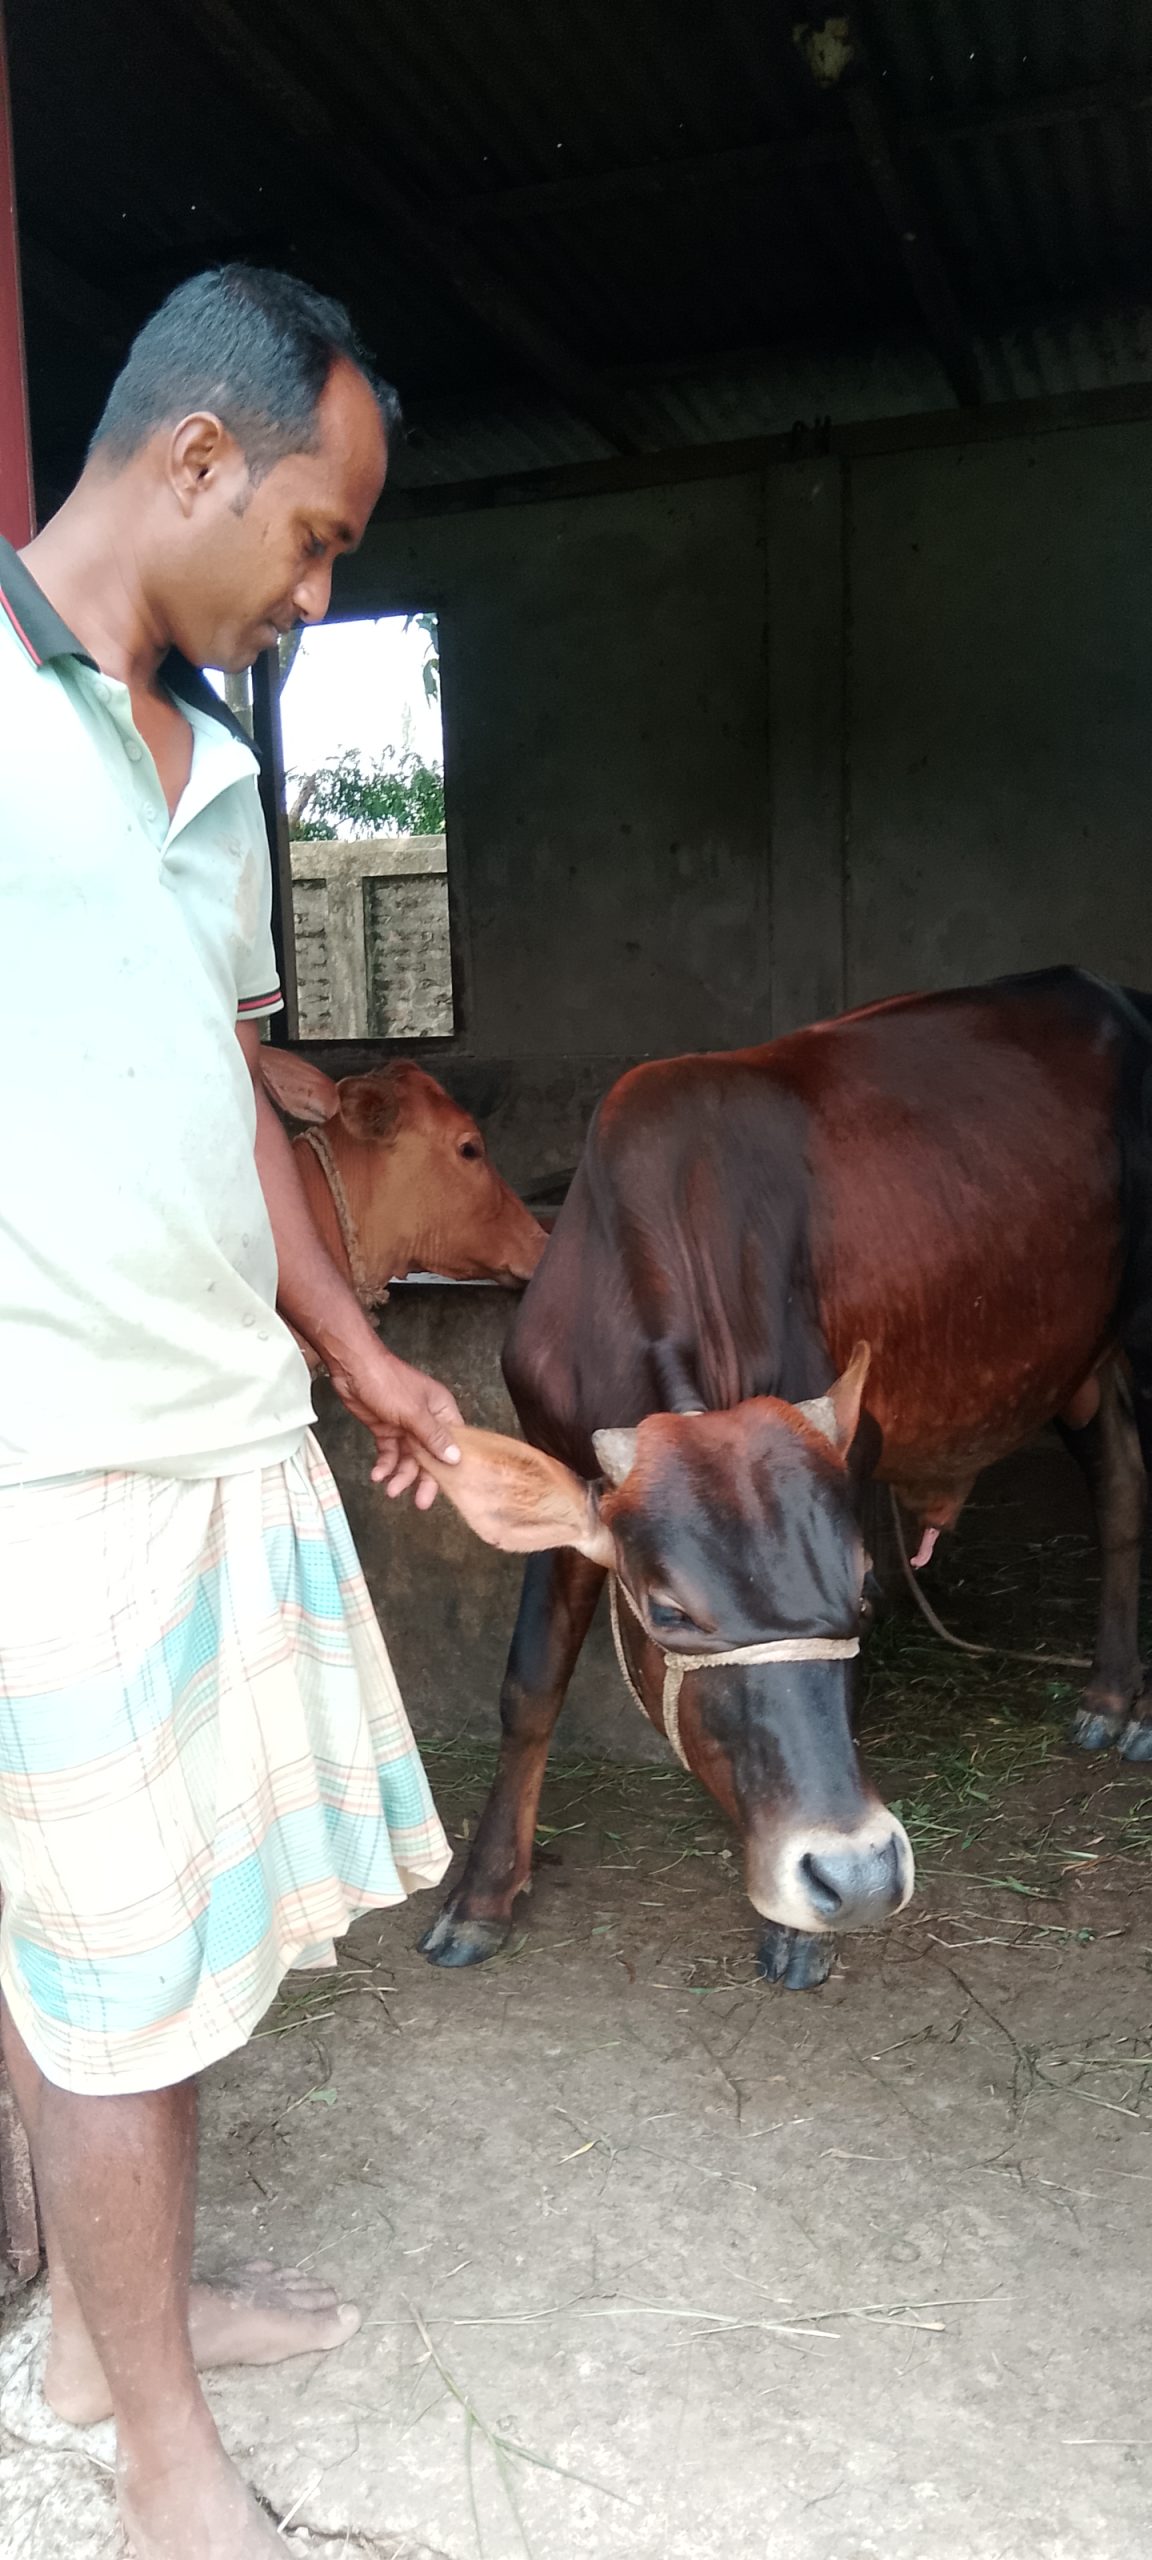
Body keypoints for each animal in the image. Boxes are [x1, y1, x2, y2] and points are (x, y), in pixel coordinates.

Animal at [414, 968, 1152, 1990]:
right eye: (670, 1610)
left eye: (866, 1590)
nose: (862, 1873)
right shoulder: (558, 1467)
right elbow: (529, 1685)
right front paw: (480, 1897)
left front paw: (798, 1934)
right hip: (1085, 1359)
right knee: (1120, 1473)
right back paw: (1109, 1696)